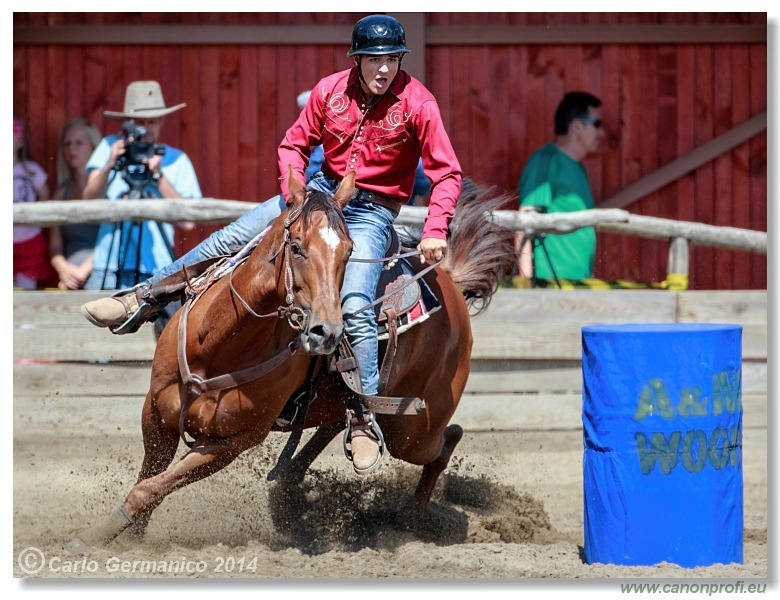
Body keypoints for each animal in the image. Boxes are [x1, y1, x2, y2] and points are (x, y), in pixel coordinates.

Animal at [71, 170, 512, 548]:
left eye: (349, 253)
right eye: (297, 248)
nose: (327, 332)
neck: (217, 345)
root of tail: (450, 282)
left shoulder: (234, 442)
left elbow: (149, 487)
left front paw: (91, 537)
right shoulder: (156, 413)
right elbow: (150, 480)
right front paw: (130, 538)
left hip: (414, 428)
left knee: (446, 441)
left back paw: (409, 519)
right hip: (351, 407)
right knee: (337, 427)